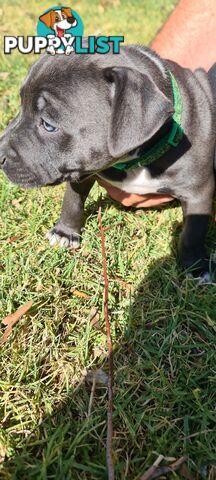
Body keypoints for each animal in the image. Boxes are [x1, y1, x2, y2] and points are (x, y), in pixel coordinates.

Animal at [0, 46, 216, 280]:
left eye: (48, 125)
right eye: (21, 106)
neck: (134, 160)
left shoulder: (198, 192)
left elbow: (192, 232)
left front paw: (195, 266)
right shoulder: (80, 169)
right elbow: (72, 201)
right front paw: (65, 232)